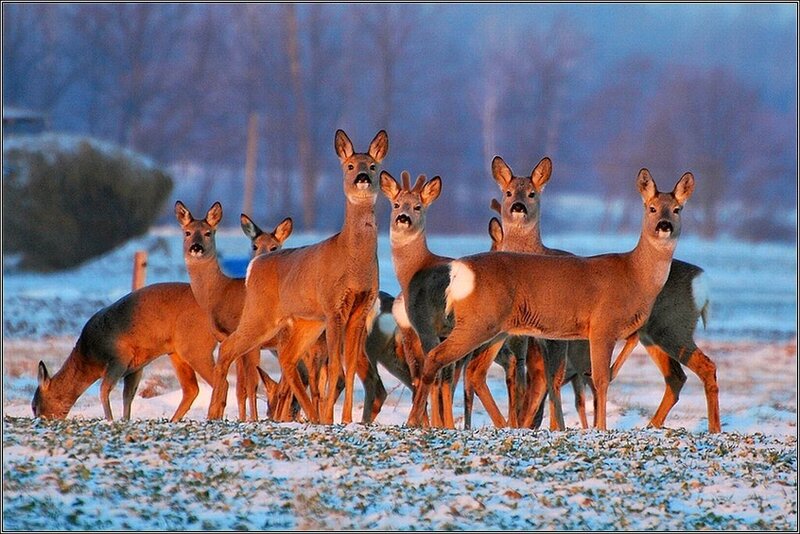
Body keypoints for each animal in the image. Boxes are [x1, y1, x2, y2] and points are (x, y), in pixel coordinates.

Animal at [32, 282, 221, 422]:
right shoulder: (136, 367)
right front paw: (125, 420)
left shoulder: (119, 357)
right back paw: (175, 420)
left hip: (194, 345)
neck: (89, 357)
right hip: (176, 352)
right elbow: (127, 395)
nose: (39, 419)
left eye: (34, 406)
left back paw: (214, 417)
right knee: (192, 388)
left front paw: (110, 420)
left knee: (218, 380)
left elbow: (104, 389)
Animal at [176, 200, 298, 422]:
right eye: (187, 232)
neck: (221, 293)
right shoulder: (229, 339)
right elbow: (240, 388)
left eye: (208, 232)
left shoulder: (248, 341)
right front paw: (241, 418)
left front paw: (250, 419)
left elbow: (250, 384)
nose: (196, 248)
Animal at [206, 129, 389, 425]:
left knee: (288, 359)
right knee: (229, 348)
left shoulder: (361, 307)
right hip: (261, 314)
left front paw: (345, 419)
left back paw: (311, 415)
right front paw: (331, 418)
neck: (354, 263)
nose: (362, 177)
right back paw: (213, 413)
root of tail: (254, 266)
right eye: (350, 166)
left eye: (373, 166)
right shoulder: (333, 307)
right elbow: (336, 366)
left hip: (306, 322)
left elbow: (349, 368)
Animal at [406, 168, 697, 431]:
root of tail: (458, 270)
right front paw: (600, 428)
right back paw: (414, 421)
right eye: (651, 208)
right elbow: (601, 379)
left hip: (494, 328)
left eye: (677, 209)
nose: (664, 226)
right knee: (436, 357)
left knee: (461, 366)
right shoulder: (602, 325)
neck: (634, 275)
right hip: (478, 322)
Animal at [489, 156, 719, 433]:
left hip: (672, 328)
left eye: (677, 209)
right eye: (508, 192)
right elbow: (545, 380)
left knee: (703, 367)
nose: (518, 207)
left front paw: (574, 427)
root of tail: (702, 280)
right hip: (659, 335)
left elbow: (563, 379)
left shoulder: (584, 331)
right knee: (678, 376)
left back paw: (712, 428)